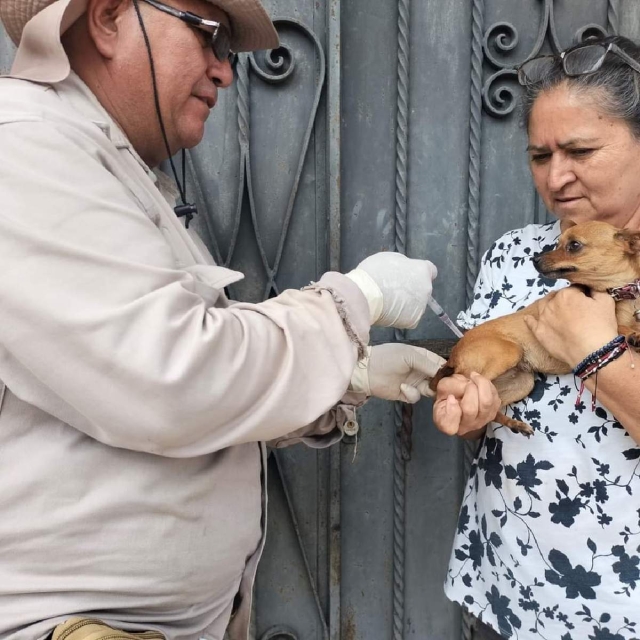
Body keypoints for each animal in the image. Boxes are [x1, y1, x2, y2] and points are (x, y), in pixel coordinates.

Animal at [430, 220, 640, 436]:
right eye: (557, 244)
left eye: (574, 245)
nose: (535, 259)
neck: (621, 293)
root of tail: (453, 356)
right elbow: (620, 327)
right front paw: (633, 334)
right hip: (508, 353)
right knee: (470, 388)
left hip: (521, 382)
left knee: (492, 408)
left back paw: (515, 424)